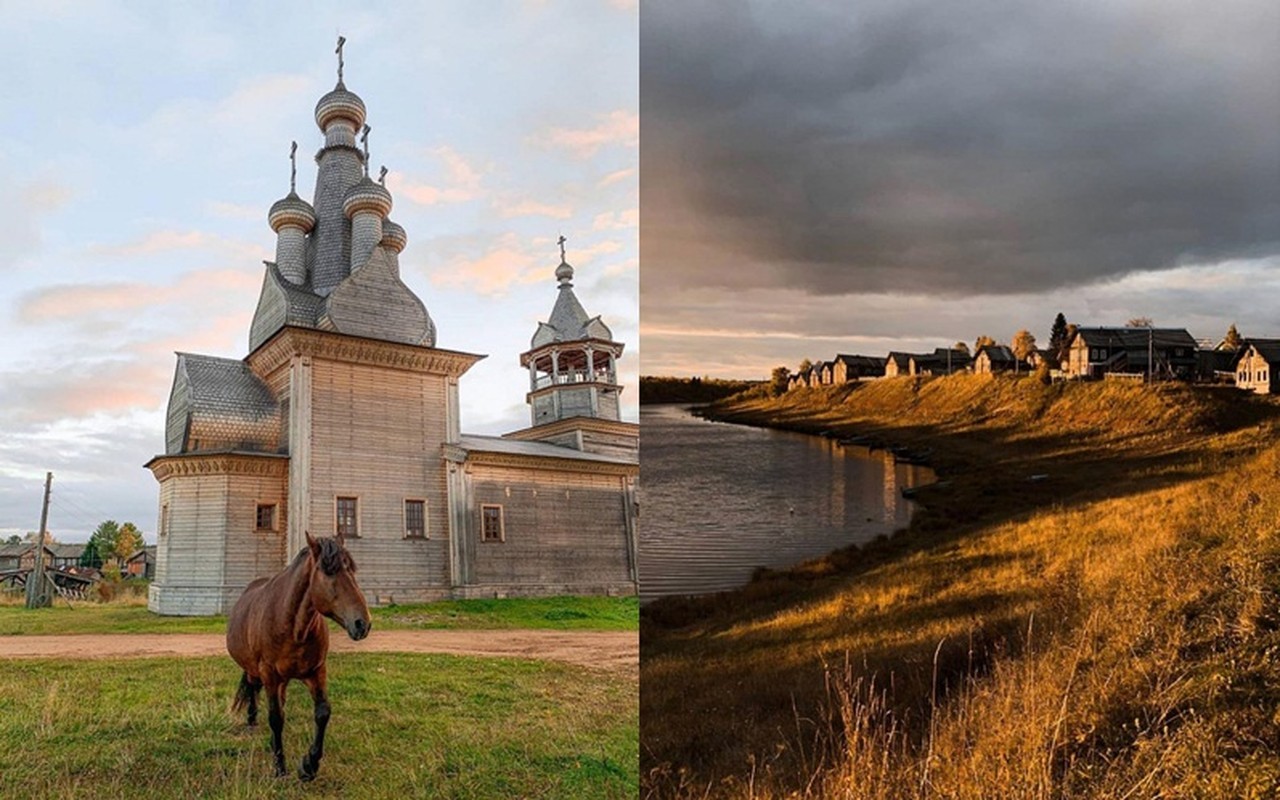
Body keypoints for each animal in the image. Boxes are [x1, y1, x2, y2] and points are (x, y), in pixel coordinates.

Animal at [225, 529, 371, 778]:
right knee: (254, 689)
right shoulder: (269, 674)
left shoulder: (316, 671)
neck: (293, 628)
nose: (362, 623)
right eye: (328, 572)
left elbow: (322, 712)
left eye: (352, 569)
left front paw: (309, 765)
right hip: (257, 671)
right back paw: (252, 720)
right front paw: (280, 767)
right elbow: (276, 718)